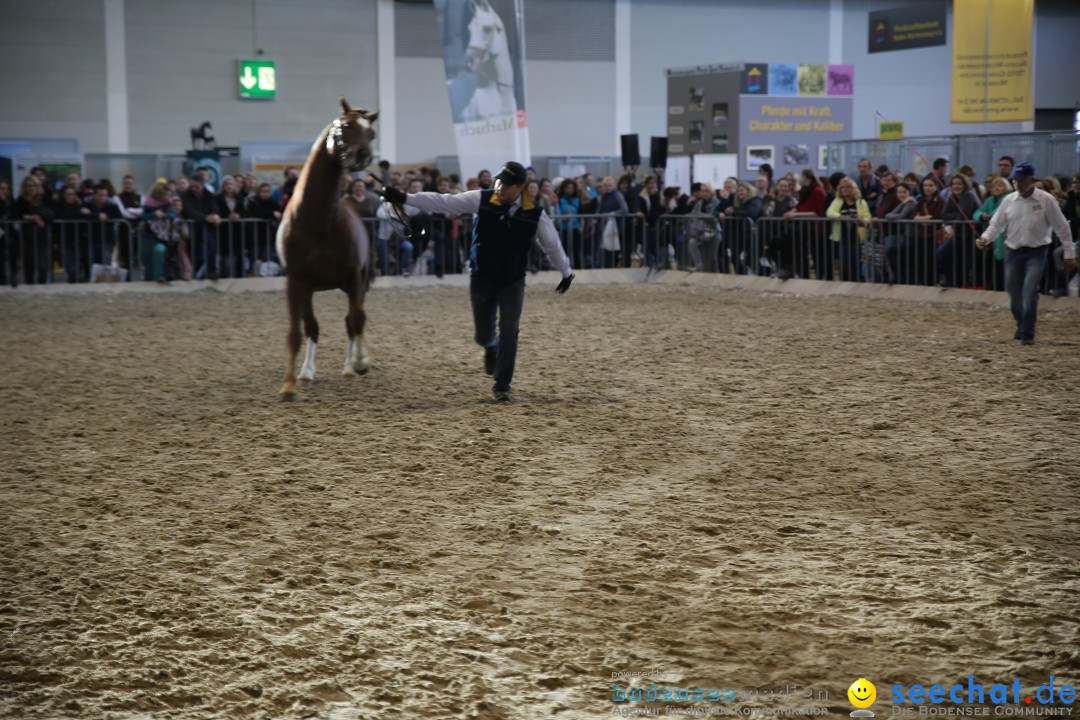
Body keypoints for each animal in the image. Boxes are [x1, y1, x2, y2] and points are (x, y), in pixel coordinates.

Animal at [276, 97, 378, 399]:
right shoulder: (296, 282)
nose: (363, 156)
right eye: (346, 126)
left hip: (358, 282)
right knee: (315, 326)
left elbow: (356, 320)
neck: (317, 222)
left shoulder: (354, 278)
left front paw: (358, 363)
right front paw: (289, 385)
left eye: (372, 133)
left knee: (353, 320)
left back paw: (352, 366)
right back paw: (307, 373)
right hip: (312, 289)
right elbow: (299, 331)